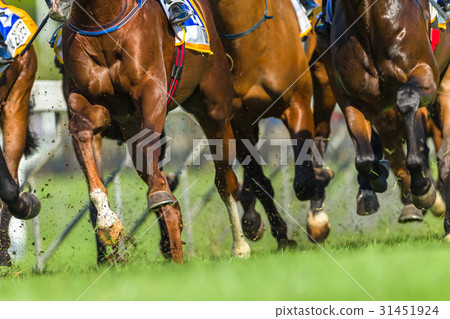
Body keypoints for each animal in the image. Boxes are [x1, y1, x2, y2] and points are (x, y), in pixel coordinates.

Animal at [51, 0, 253, 264]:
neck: (101, 22)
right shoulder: (93, 103)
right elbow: (82, 129)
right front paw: (107, 220)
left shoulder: (151, 91)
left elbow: (149, 145)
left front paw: (158, 193)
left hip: (215, 107)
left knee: (225, 180)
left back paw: (239, 245)